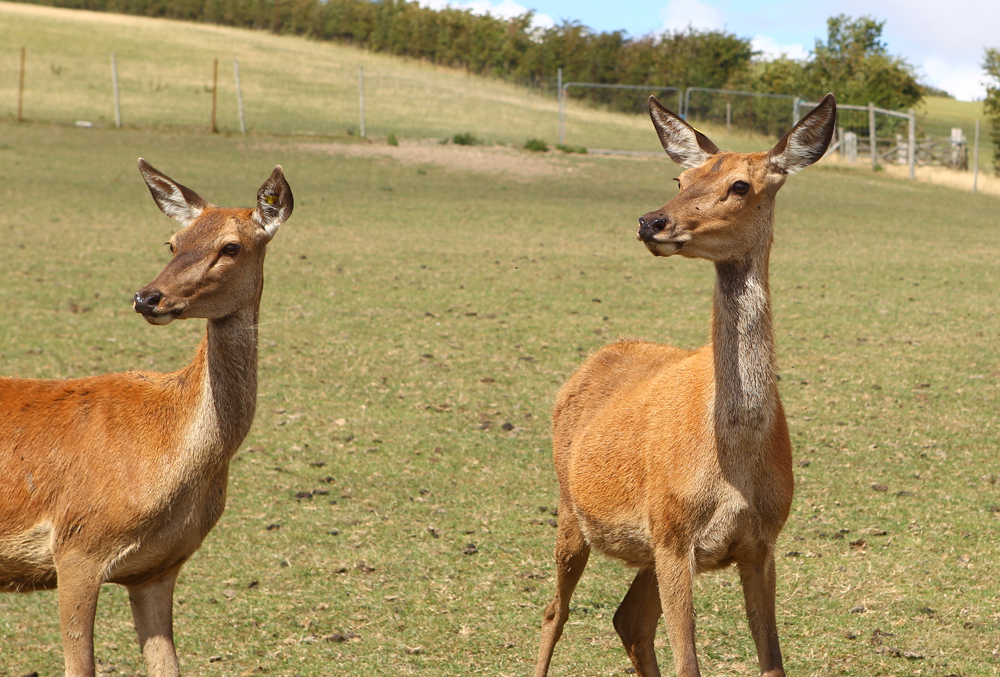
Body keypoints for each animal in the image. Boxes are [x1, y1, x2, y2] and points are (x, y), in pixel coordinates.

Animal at [534, 93, 836, 677]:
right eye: (681, 177)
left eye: (740, 185)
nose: (651, 221)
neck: (731, 462)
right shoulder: (674, 534)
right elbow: (688, 664)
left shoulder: (761, 542)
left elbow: (772, 663)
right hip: (572, 506)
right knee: (555, 610)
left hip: (646, 544)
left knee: (627, 620)